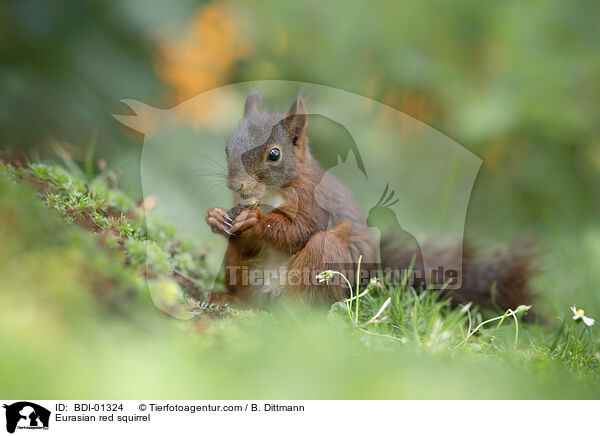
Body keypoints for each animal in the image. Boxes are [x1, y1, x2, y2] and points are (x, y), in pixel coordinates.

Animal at [206, 92, 536, 312]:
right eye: (226, 148)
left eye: (274, 154)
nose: (236, 184)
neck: (269, 195)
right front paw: (215, 217)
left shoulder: (314, 202)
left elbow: (297, 230)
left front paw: (256, 221)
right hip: (240, 269)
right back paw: (230, 299)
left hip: (328, 260)